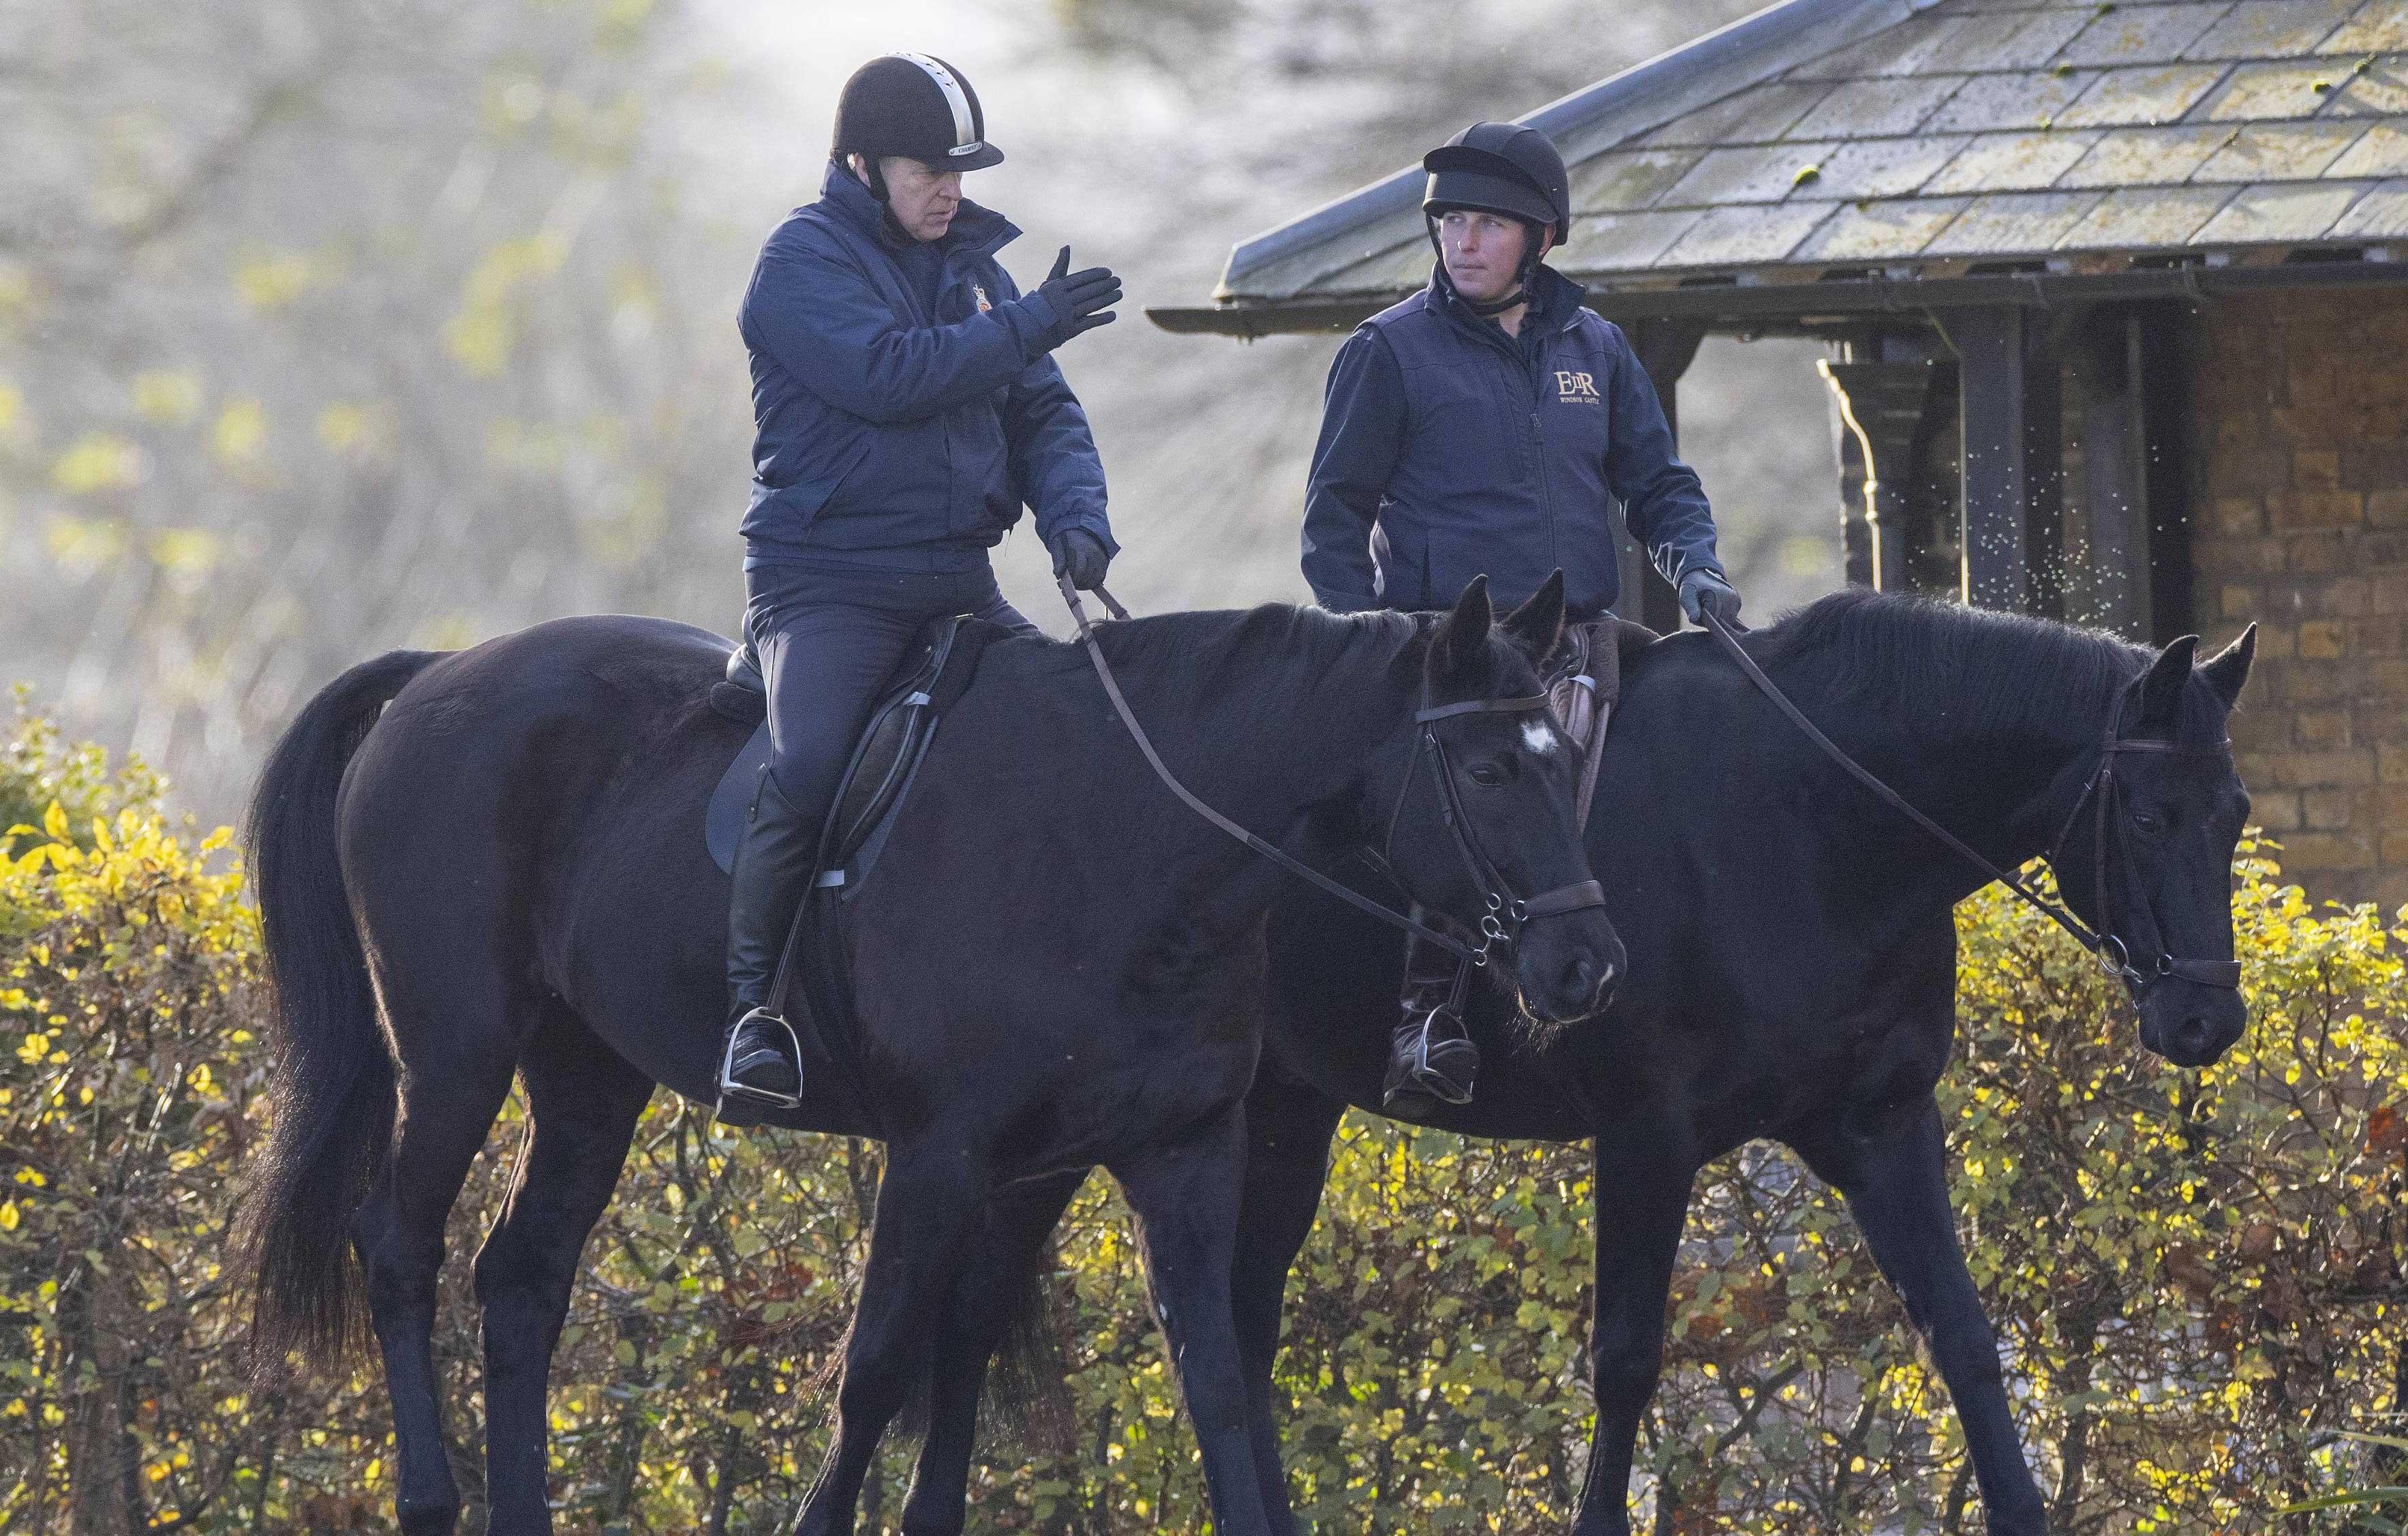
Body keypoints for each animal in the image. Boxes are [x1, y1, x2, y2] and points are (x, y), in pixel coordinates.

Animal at [230, 577, 1618, 1536]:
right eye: (1487, 767)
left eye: (1568, 763)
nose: (1584, 968)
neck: (1129, 841)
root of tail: (438, 674)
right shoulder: (941, 1154)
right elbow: (879, 1367)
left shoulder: (1161, 1153)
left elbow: (1206, 1375)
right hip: (456, 1050)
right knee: (399, 1244)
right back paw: (429, 1499)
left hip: (586, 1073)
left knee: (522, 1277)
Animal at [891, 590, 2253, 1536]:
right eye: (2147, 815)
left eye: (2233, 812)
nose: (2207, 1024)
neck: (1805, 827)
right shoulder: (1649, 1132)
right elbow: (1626, 1360)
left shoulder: (1880, 1122)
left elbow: (1964, 1336)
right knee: (978, 1312)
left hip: (1279, 1113)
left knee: (1238, 1320)